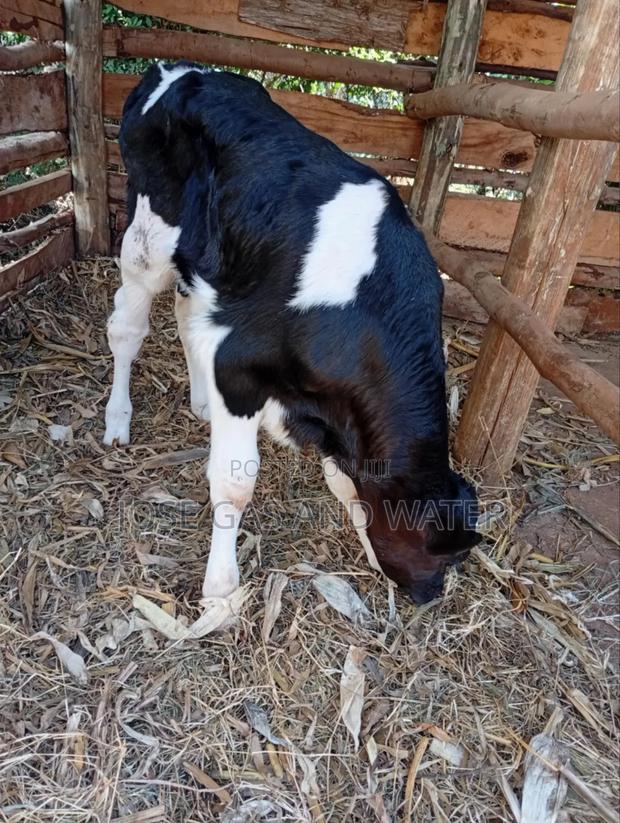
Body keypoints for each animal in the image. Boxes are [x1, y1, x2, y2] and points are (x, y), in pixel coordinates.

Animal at [103, 62, 480, 608]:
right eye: (445, 554)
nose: (430, 596)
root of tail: (176, 69)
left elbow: (347, 484)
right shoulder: (240, 362)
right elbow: (235, 481)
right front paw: (221, 588)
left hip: (210, 266)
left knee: (185, 311)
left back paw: (200, 401)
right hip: (148, 236)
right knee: (127, 328)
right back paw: (117, 420)